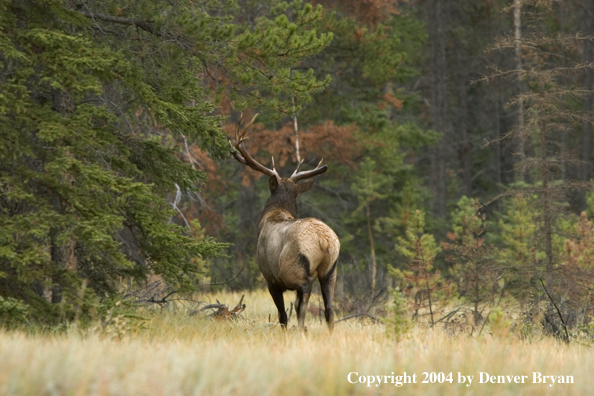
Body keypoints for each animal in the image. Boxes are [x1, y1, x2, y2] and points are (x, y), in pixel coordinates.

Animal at [228, 114, 338, 332]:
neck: (271, 216)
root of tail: (325, 242)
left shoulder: (270, 278)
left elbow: (282, 316)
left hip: (293, 269)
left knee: (303, 297)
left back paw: (302, 328)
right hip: (331, 271)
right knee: (329, 310)